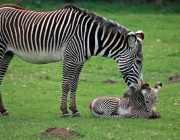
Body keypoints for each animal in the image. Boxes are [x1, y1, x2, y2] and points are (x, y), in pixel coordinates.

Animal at [0, 3, 144, 117]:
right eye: (138, 62)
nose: (140, 89)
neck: (89, 36)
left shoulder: (79, 61)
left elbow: (74, 85)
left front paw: (74, 110)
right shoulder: (69, 58)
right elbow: (66, 84)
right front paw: (64, 111)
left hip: (7, 54)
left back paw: (3, 110)